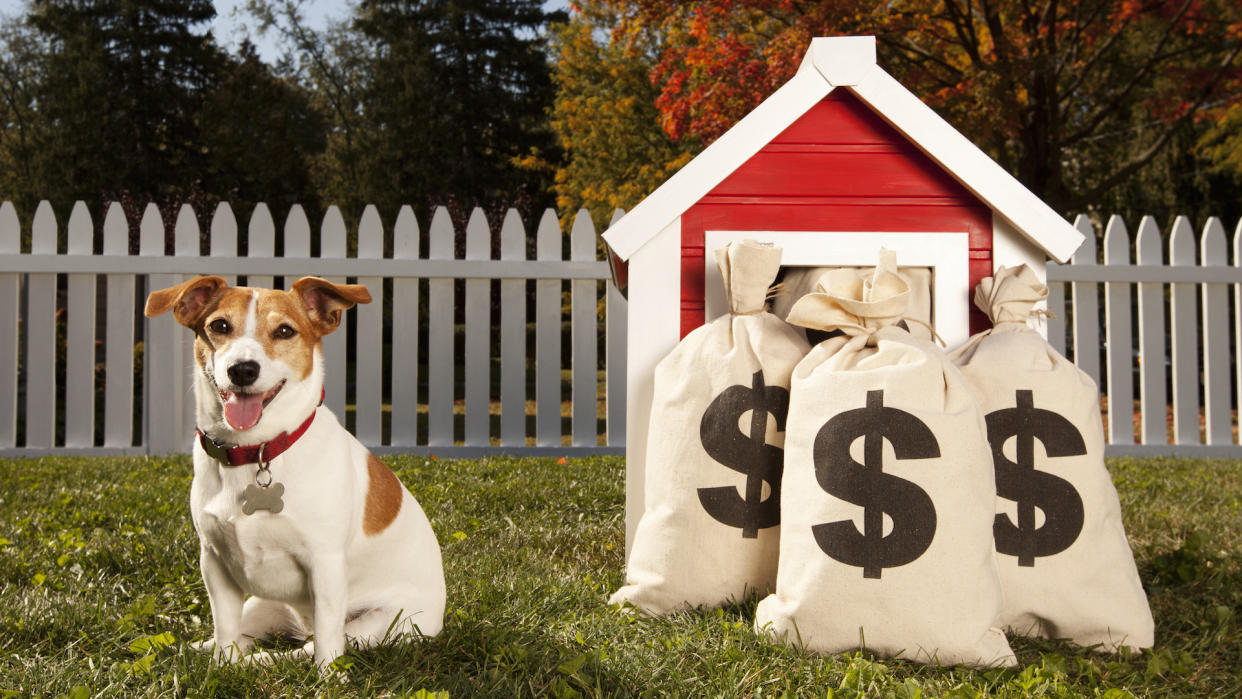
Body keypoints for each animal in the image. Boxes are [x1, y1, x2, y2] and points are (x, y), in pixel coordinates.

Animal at [145, 276, 447, 670]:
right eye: (219, 326)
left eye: (285, 331)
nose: (243, 369)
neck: (255, 452)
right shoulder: (214, 562)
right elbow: (225, 631)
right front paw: (221, 668)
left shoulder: (326, 566)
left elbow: (326, 645)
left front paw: (329, 678)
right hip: (262, 604)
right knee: (243, 636)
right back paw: (194, 650)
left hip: (378, 625)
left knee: (303, 648)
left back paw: (265, 660)